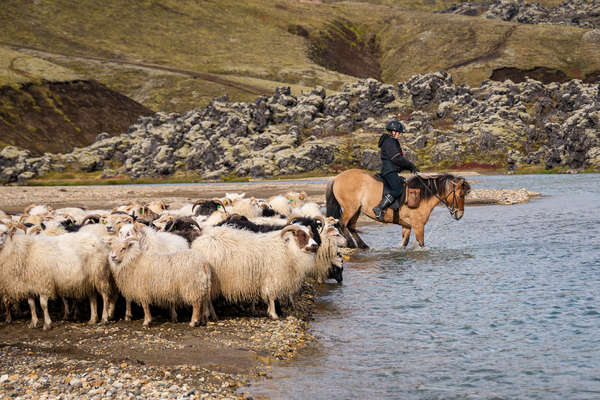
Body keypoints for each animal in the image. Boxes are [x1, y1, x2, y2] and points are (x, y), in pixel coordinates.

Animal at [326, 170, 472, 250]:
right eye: (460, 195)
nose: (460, 215)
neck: (423, 195)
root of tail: (337, 177)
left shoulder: (407, 226)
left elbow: (404, 243)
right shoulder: (418, 226)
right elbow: (421, 244)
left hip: (356, 209)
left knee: (351, 226)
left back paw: (363, 245)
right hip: (350, 208)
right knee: (342, 224)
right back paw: (351, 244)